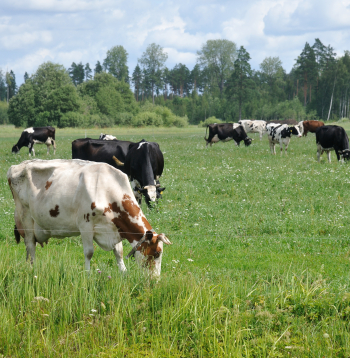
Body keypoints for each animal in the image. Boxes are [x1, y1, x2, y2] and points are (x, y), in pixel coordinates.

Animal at [7, 160, 172, 276]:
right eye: (157, 253)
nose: (155, 280)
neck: (108, 190)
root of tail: (16, 166)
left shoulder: (114, 227)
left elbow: (118, 252)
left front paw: (124, 273)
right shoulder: (85, 225)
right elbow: (89, 252)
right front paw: (87, 275)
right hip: (26, 217)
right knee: (30, 245)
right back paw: (32, 269)